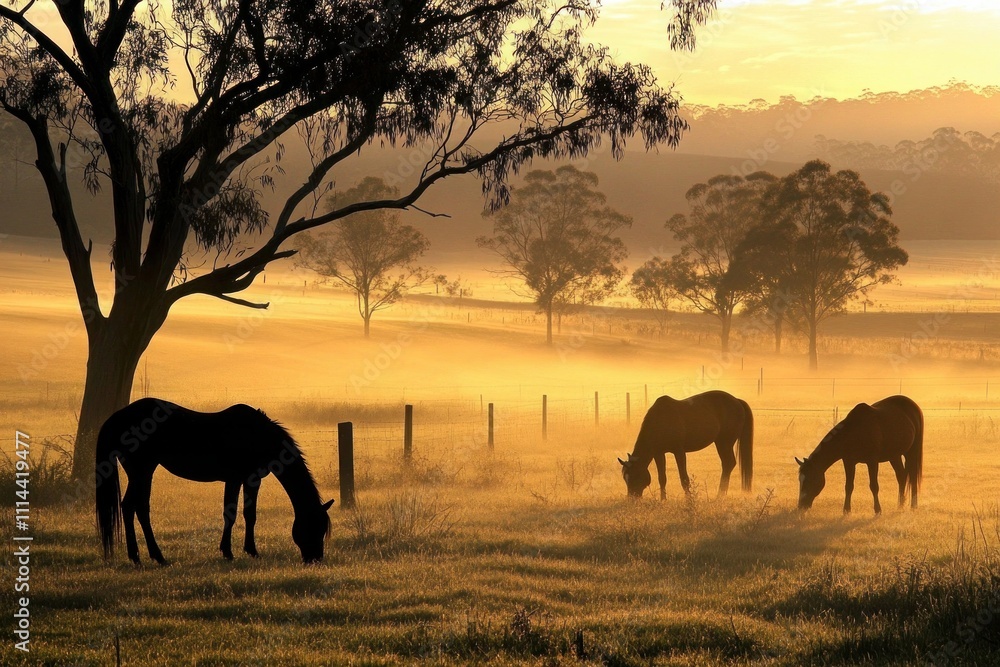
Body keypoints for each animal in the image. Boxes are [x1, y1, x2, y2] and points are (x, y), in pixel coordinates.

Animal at [96, 398, 334, 565]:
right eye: (313, 526)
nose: (315, 559)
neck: (258, 435)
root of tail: (117, 417)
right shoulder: (236, 479)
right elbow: (231, 513)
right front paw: (228, 552)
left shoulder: (252, 479)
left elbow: (250, 514)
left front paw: (251, 551)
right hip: (141, 471)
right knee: (130, 507)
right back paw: (140, 557)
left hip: (144, 472)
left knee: (139, 508)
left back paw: (154, 556)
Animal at [618, 390, 753, 499]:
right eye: (625, 478)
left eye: (635, 475)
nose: (632, 498)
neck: (661, 420)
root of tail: (737, 401)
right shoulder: (658, 453)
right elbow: (662, 478)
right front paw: (663, 500)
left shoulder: (679, 451)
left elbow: (684, 478)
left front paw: (689, 500)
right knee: (727, 464)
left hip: (724, 442)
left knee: (728, 463)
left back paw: (719, 495)